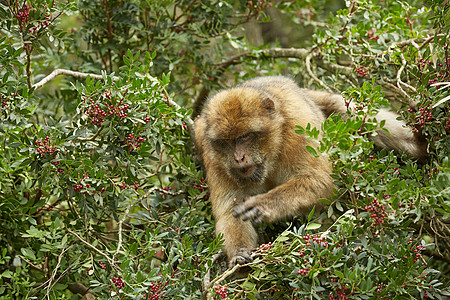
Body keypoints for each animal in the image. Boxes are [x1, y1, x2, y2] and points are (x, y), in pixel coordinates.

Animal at [194, 75, 428, 268]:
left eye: (245, 137)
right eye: (226, 142)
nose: (238, 158)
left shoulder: (299, 127)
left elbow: (322, 180)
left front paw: (264, 205)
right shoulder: (212, 156)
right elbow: (228, 211)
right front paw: (239, 256)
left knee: (343, 108)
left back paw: (418, 145)